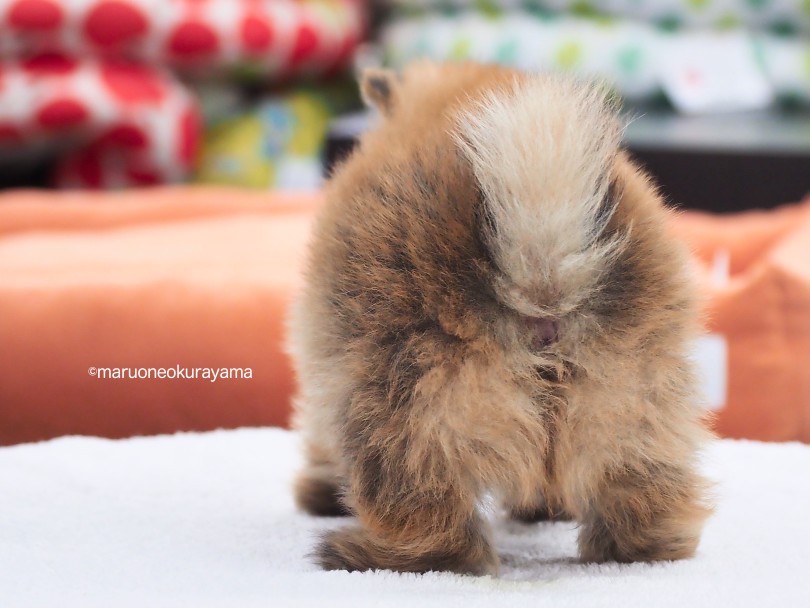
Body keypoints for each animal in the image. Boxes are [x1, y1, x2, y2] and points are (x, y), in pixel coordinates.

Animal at [288, 60, 712, 576]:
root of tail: (543, 265)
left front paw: (321, 489)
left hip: (406, 400)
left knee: (428, 510)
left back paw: (373, 553)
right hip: (633, 394)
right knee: (641, 485)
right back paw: (634, 548)